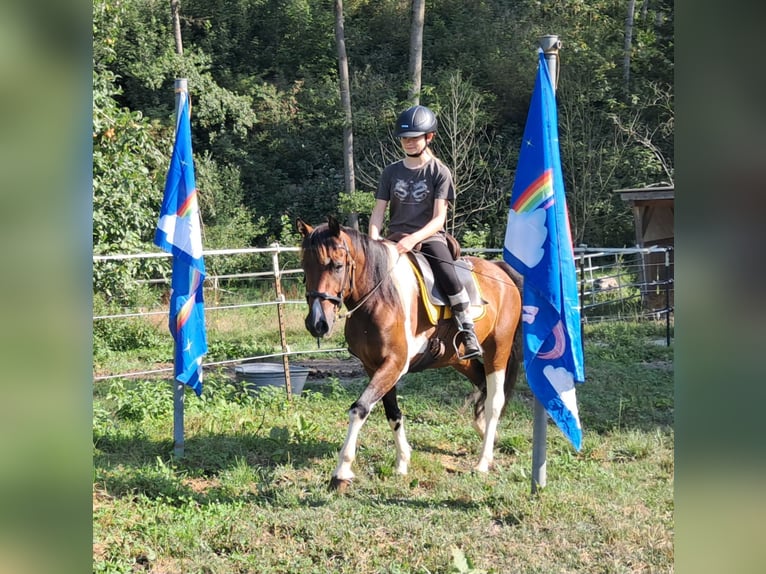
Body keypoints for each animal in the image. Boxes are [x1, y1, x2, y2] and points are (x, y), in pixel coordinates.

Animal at [296, 218, 524, 492]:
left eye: (337, 265)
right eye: (304, 266)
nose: (317, 323)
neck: (380, 296)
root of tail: (499, 270)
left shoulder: (394, 364)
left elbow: (359, 408)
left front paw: (341, 471)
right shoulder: (374, 366)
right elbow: (392, 412)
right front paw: (402, 462)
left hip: (497, 350)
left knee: (494, 401)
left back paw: (482, 462)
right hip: (458, 358)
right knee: (481, 383)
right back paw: (486, 435)